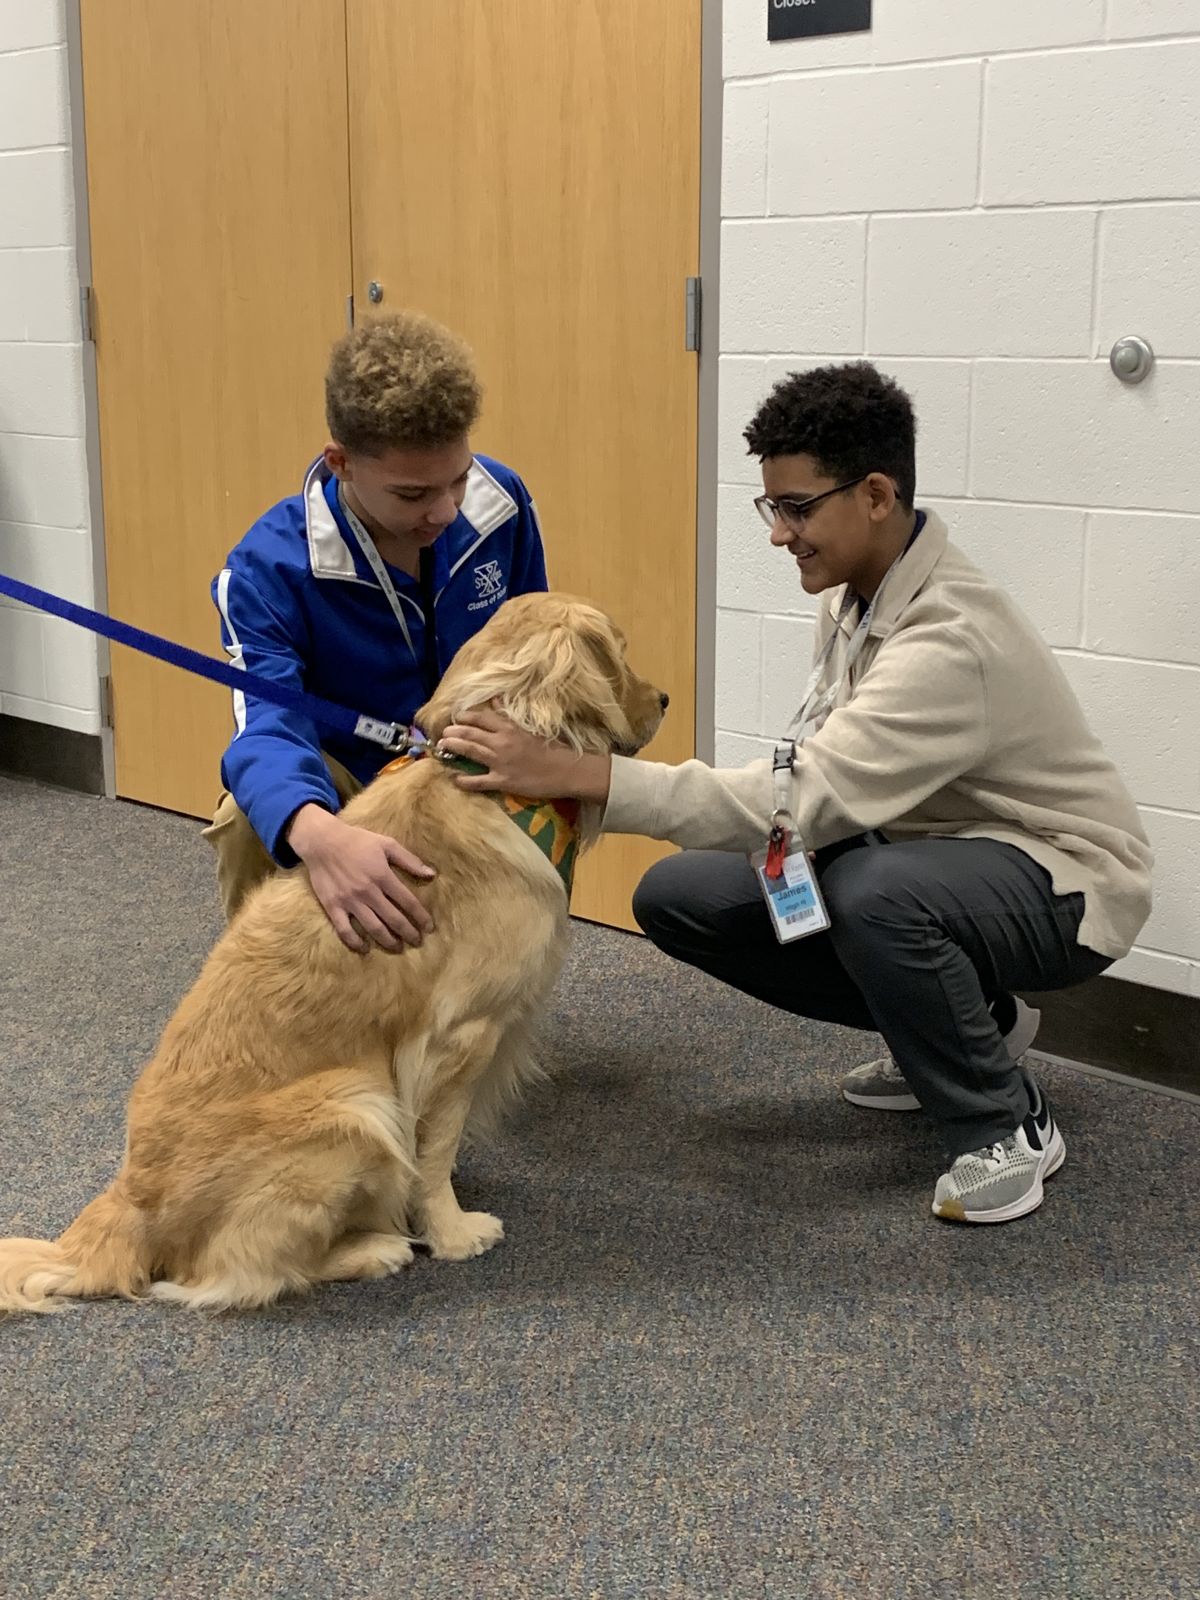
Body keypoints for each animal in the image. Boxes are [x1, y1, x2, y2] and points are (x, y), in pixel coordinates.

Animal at [0, 592, 668, 1312]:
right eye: (618, 653)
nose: (664, 698)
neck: (489, 788)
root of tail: (125, 1208)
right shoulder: (459, 1036)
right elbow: (434, 1147)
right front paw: (452, 1230)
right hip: (356, 1102)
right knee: (238, 1274)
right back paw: (374, 1247)